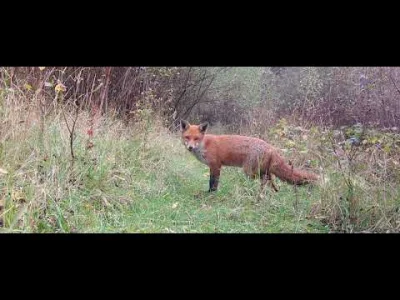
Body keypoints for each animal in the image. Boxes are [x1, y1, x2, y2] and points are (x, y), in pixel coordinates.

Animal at [180, 119, 318, 192]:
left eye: (196, 138)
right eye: (187, 137)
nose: (190, 147)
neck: (205, 144)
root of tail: (271, 147)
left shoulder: (216, 165)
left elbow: (213, 182)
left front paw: (211, 193)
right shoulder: (212, 167)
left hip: (249, 171)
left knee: (264, 181)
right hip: (263, 171)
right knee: (270, 182)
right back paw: (271, 194)